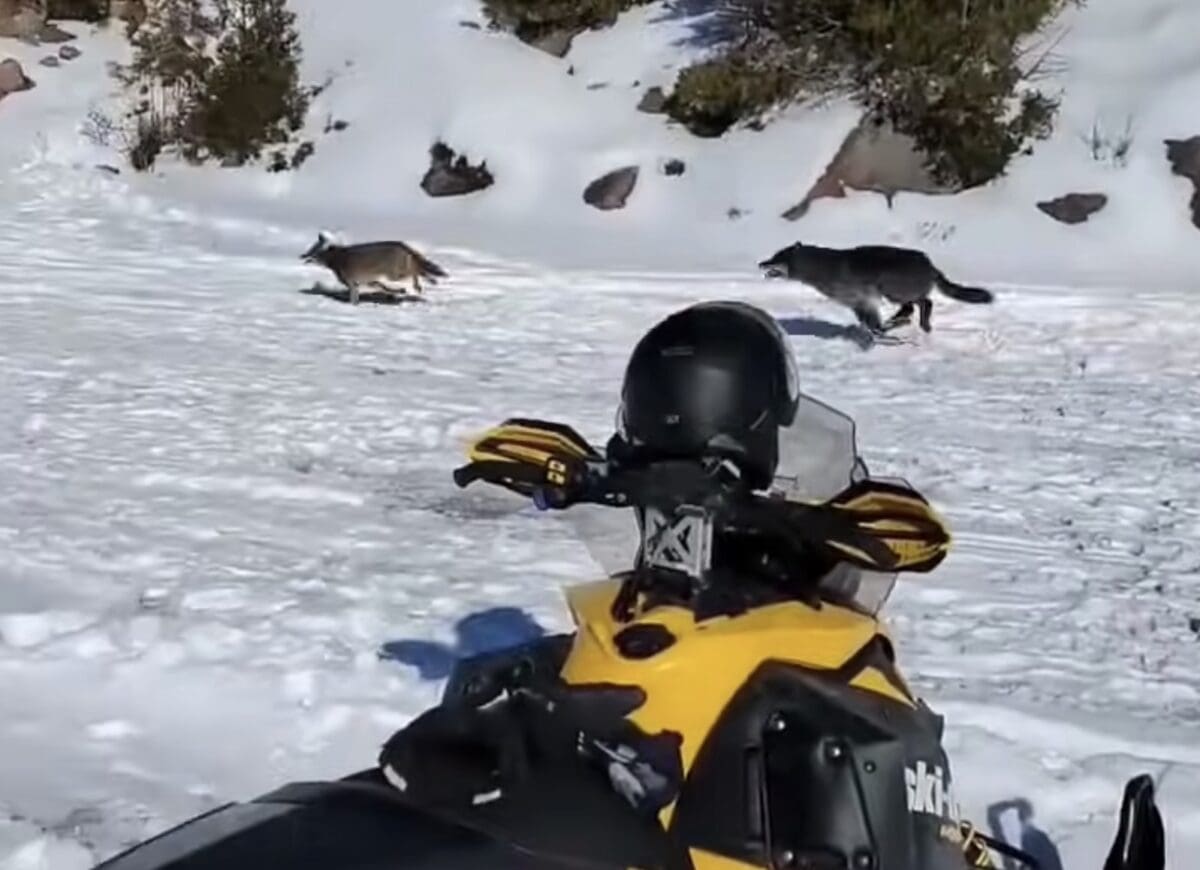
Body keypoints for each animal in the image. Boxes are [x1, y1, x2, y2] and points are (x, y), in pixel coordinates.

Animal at [300, 232, 448, 304]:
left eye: (311, 252)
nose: (301, 255)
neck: (334, 258)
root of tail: (402, 245)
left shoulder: (352, 283)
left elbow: (353, 298)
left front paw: (353, 306)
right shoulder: (370, 281)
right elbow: (384, 287)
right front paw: (397, 291)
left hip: (394, 274)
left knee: (415, 270)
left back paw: (423, 283)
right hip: (396, 272)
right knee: (418, 269)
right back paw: (427, 281)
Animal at [758, 241, 993, 336]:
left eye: (776, 257)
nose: (761, 263)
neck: (819, 266)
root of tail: (931, 265)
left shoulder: (859, 296)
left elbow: (873, 321)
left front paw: (879, 330)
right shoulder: (856, 302)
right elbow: (868, 321)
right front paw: (870, 330)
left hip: (893, 285)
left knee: (923, 302)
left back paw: (917, 318)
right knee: (911, 306)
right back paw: (901, 318)